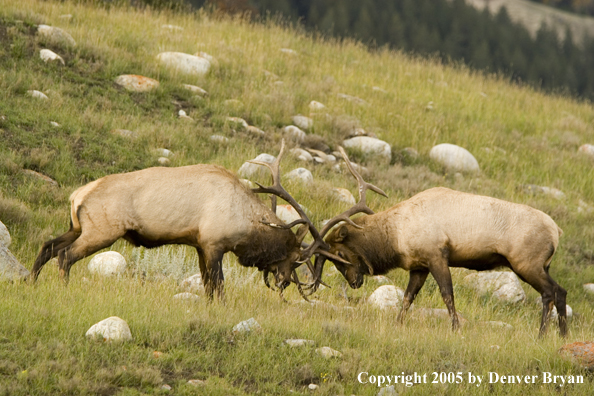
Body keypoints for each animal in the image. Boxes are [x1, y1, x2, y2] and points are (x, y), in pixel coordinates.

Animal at [31, 141, 332, 298]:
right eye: (295, 257)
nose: (285, 282)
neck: (246, 225)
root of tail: (77, 195)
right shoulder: (213, 244)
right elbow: (218, 286)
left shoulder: (199, 245)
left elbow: (207, 285)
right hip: (101, 231)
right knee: (66, 255)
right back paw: (63, 289)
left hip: (78, 226)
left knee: (48, 246)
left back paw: (31, 281)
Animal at [316, 170, 568, 338]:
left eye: (339, 253)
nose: (353, 282)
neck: (396, 236)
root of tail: (556, 231)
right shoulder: (419, 266)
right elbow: (408, 297)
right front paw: (397, 324)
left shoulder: (436, 256)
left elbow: (447, 294)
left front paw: (456, 329)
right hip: (541, 266)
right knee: (561, 291)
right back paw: (562, 335)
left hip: (526, 263)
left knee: (550, 292)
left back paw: (542, 335)